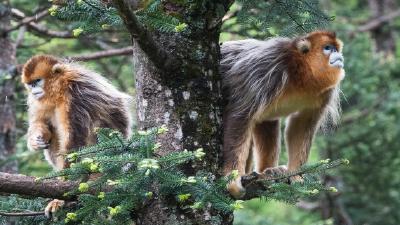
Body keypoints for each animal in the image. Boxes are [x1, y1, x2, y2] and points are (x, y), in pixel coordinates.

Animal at [21, 54, 132, 216]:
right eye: (30, 84)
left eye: (37, 81)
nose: (34, 89)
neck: (60, 89)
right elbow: (41, 122)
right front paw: (36, 140)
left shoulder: (75, 98)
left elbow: (74, 146)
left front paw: (60, 198)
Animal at [220, 30, 346, 198]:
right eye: (328, 48)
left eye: (336, 48)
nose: (338, 54)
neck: (299, 72)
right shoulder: (266, 69)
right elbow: (240, 115)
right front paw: (232, 179)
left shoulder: (325, 93)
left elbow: (301, 125)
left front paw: (295, 175)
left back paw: (266, 172)